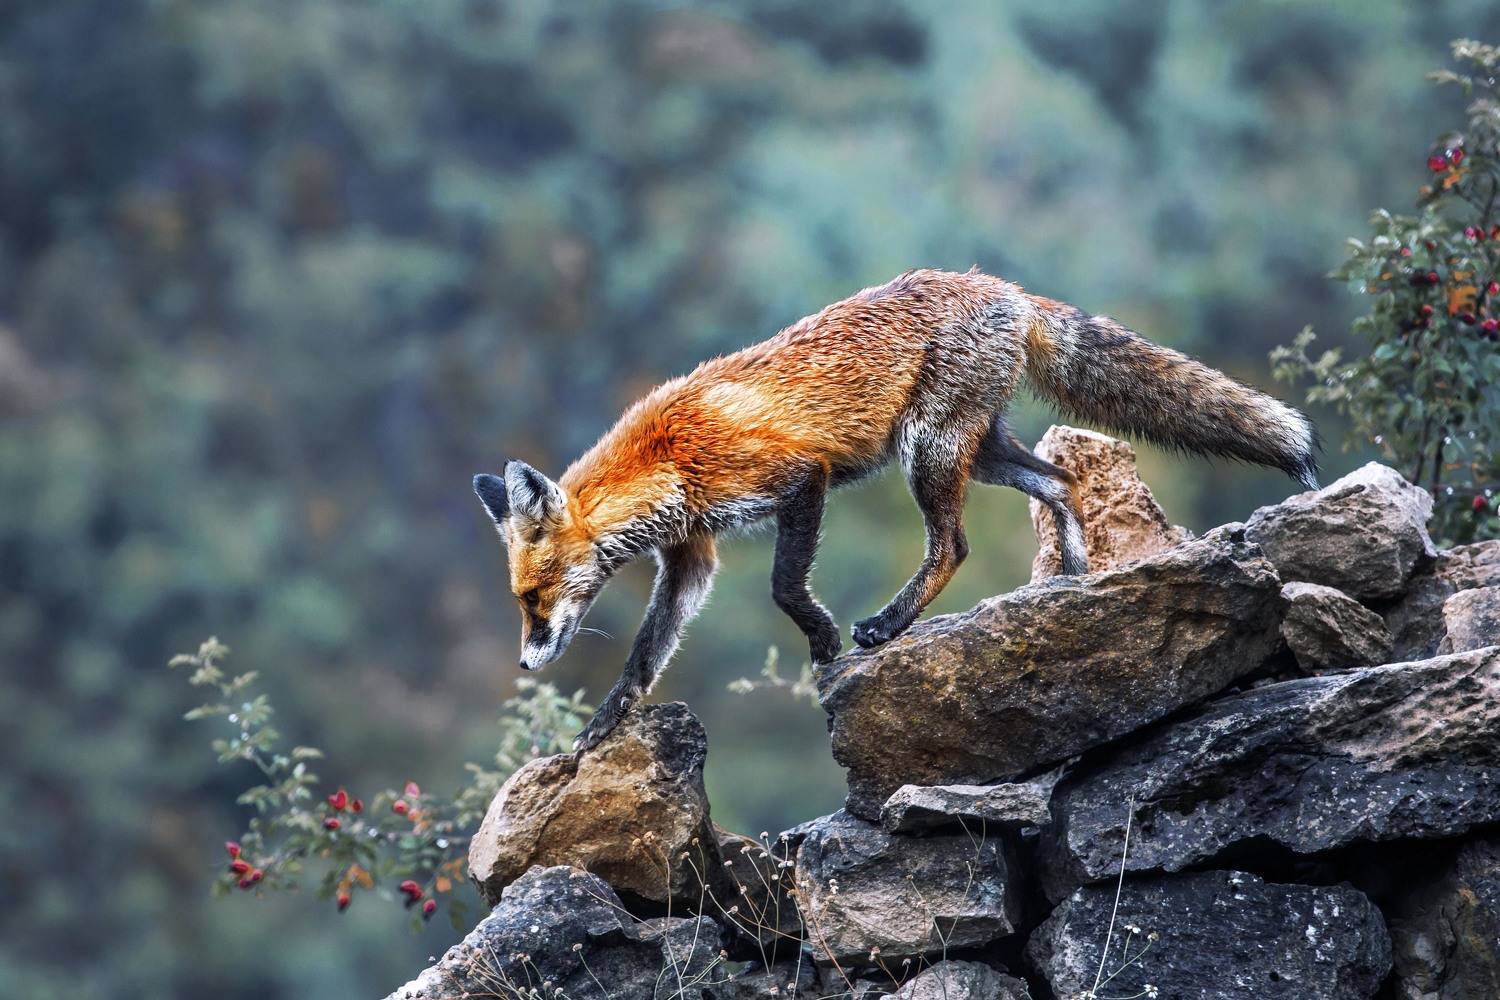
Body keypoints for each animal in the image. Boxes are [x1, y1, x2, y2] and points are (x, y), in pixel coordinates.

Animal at [473, 268, 1319, 752]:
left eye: (532, 597)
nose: (523, 663)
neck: (669, 460)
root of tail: (1002, 287)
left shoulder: (798, 479)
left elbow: (784, 586)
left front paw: (821, 641)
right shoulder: (691, 555)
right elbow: (645, 654)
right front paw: (601, 726)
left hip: (930, 452)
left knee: (955, 546)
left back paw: (890, 624)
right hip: (980, 450)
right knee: (1059, 483)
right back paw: (1069, 580)